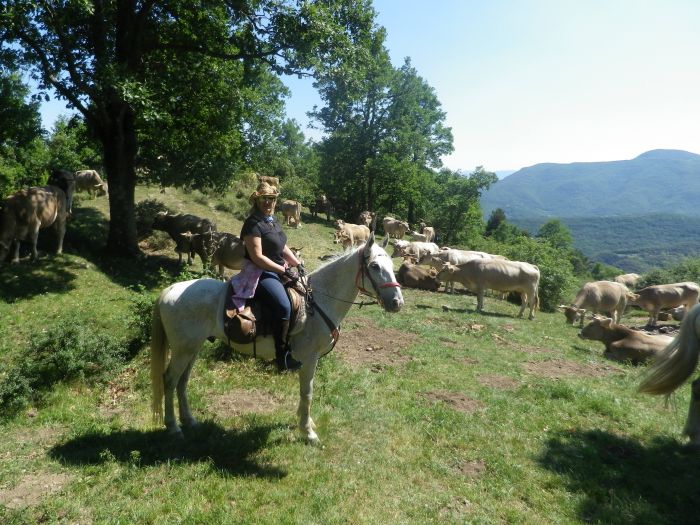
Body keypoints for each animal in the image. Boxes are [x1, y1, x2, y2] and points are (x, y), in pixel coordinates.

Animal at [153, 233, 404, 442]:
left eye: (392, 266)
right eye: (374, 266)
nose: (397, 303)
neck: (319, 301)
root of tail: (170, 290)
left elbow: (306, 393)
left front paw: (305, 422)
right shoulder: (309, 359)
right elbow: (307, 392)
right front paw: (308, 432)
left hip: (191, 348)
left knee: (182, 381)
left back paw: (190, 421)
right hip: (183, 350)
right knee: (170, 380)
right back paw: (173, 427)